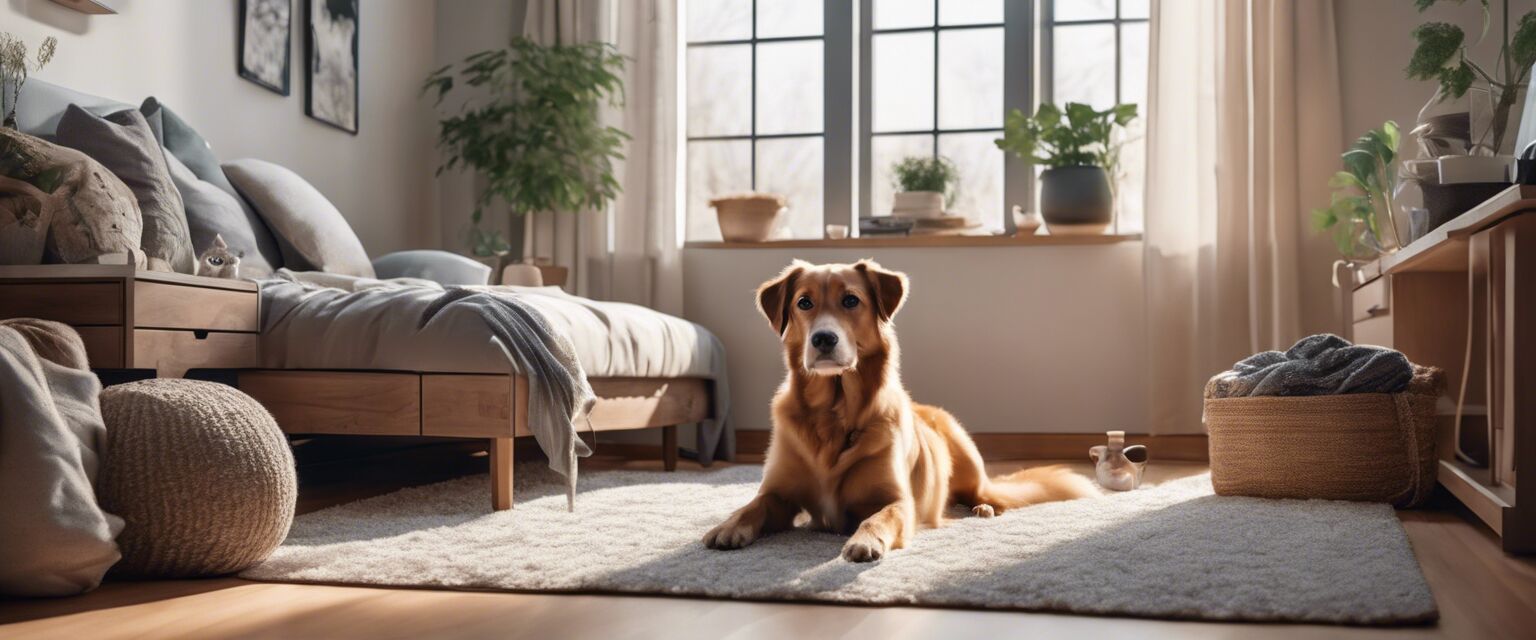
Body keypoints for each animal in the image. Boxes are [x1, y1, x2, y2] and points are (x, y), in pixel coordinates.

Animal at [703, 259, 1099, 558]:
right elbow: (753, 505)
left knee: (986, 494)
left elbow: (877, 518)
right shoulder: (778, 494)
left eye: (851, 300)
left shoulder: (898, 500)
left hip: (967, 456)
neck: (834, 412)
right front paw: (727, 526)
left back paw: (983, 508)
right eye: (804, 303)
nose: (823, 339)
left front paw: (864, 541)